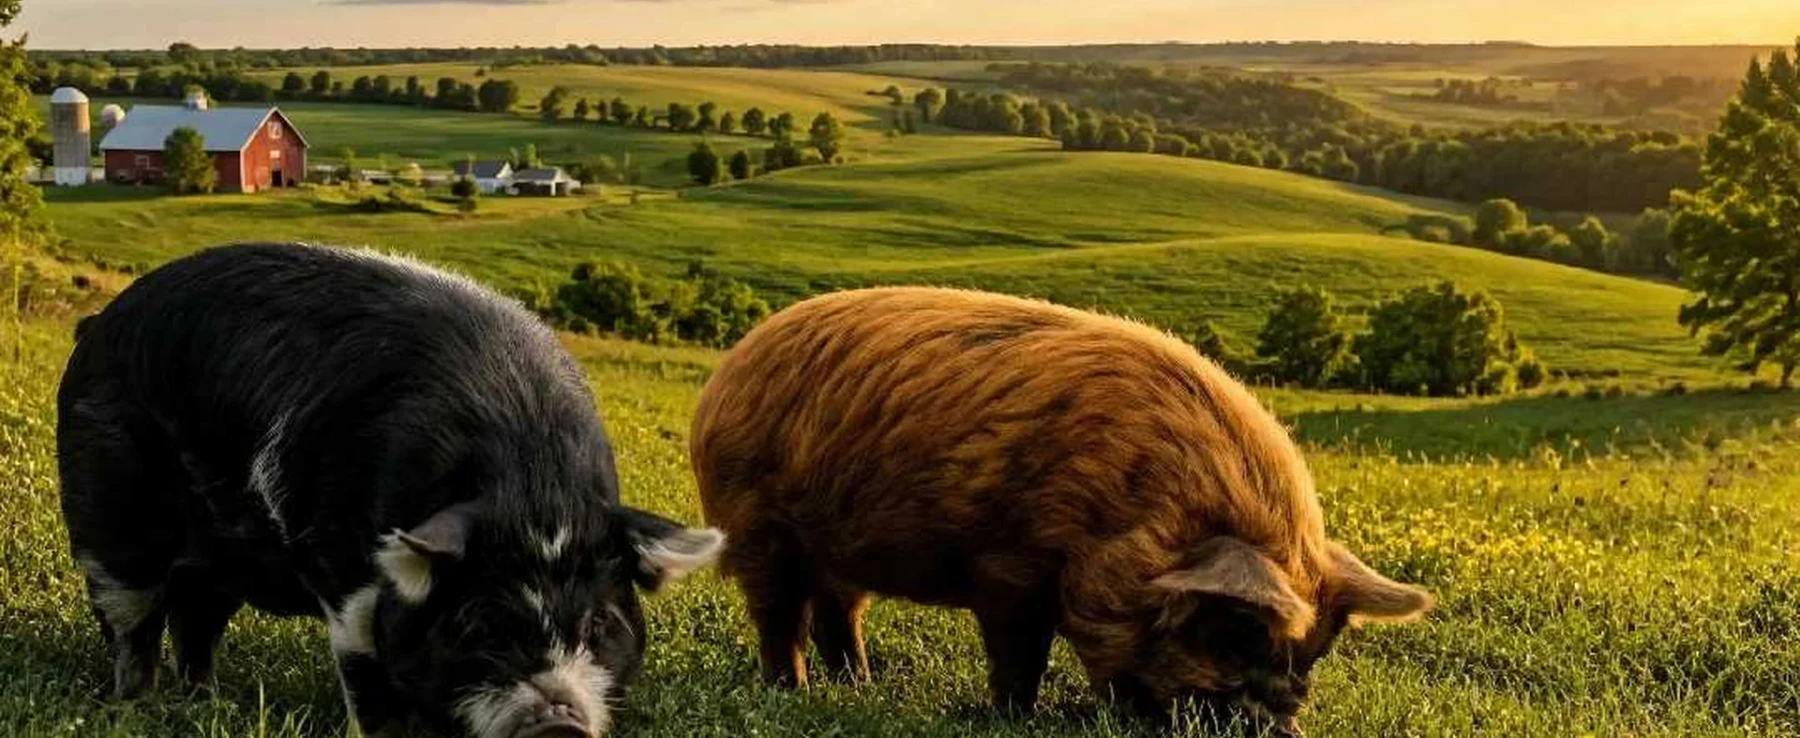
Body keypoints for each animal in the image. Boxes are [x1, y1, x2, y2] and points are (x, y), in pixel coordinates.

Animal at [58, 243, 723, 738]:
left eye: (600, 622)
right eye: (479, 622)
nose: (557, 722)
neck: (529, 484)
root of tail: (97, 324)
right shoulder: (344, 572)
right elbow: (367, 674)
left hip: (222, 561)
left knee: (197, 617)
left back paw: (207, 702)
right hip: (108, 516)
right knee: (131, 617)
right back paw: (136, 707)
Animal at [690, 287, 1432, 735]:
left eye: (1313, 655)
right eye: (1238, 633)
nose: (1282, 729)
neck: (1131, 509)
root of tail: (729, 369)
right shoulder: (1008, 565)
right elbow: (1021, 654)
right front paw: (1013, 719)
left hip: (837, 547)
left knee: (839, 613)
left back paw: (859, 687)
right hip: (756, 524)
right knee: (779, 616)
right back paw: (793, 693)